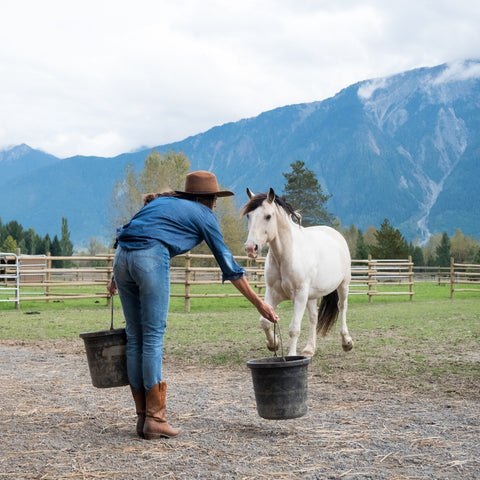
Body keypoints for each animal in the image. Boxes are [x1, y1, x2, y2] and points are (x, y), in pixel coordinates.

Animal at [244, 188, 352, 356]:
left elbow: (294, 329)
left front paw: (291, 356)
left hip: (343, 285)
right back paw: (309, 349)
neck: (285, 256)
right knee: (314, 317)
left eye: (268, 216)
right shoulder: (273, 293)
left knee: (342, 307)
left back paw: (346, 342)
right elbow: (264, 321)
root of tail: (336, 234)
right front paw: (273, 344)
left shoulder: (299, 296)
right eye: (248, 215)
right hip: (312, 295)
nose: (251, 248)